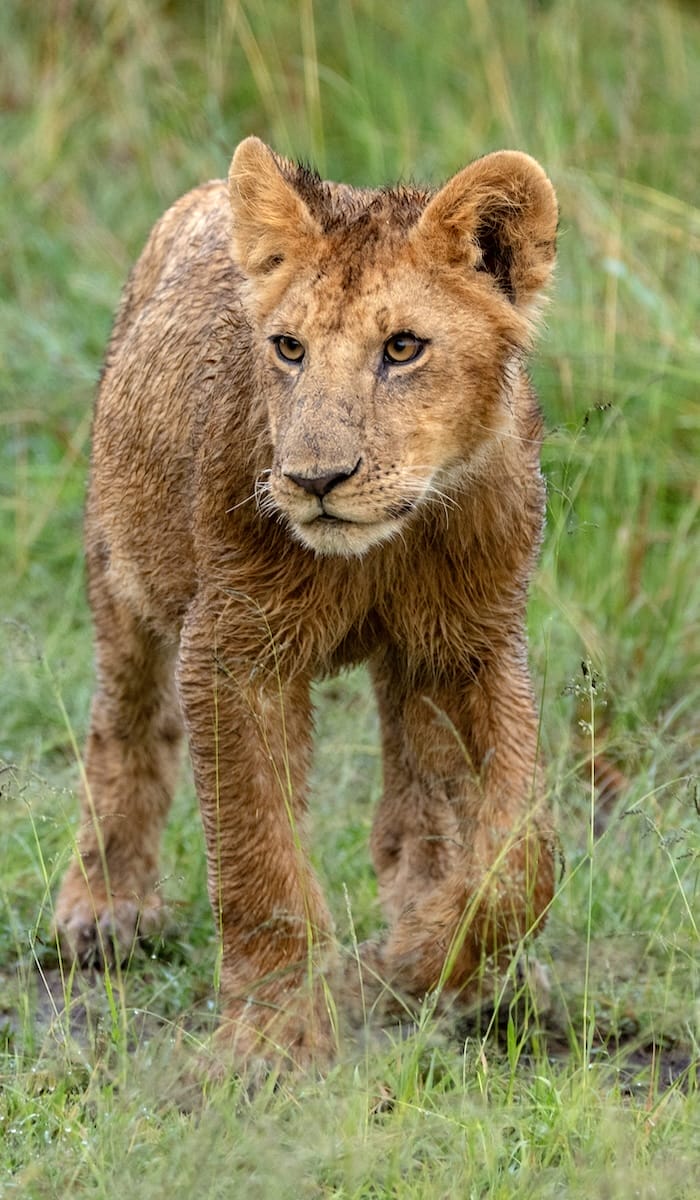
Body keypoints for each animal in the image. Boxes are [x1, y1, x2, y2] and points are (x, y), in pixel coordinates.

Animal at [54, 137, 558, 1072]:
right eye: (288, 348)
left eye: (403, 347)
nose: (315, 480)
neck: (387, 546)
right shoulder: (233, 649)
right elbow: (260, 858)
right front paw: (275, 1040)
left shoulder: (475, 644)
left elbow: (522, 854)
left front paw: (420, 958)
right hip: (123, 561)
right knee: (126, 720)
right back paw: (103, 908)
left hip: (411, 664)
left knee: (416, 807)